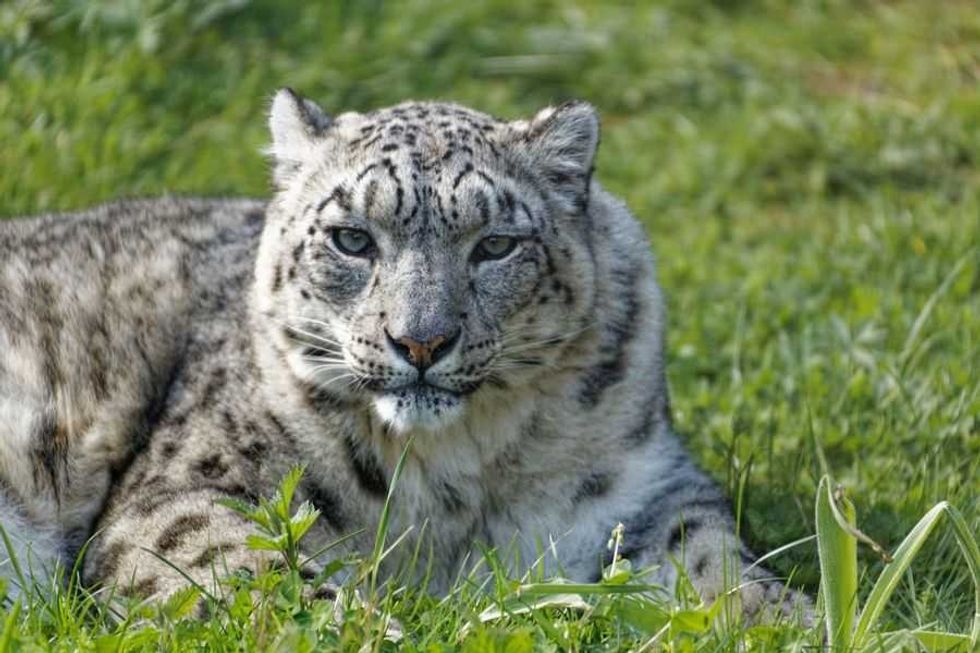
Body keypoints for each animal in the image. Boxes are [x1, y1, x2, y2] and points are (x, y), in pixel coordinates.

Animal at [0, 89, 809, 620]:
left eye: (496, 244)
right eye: (352, 239)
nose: (421, 339)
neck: (454, 477)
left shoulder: (643, 489)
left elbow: (715, 559)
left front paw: (789, 620)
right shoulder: (190, 489)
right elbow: (253, 571)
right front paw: (355, 627)